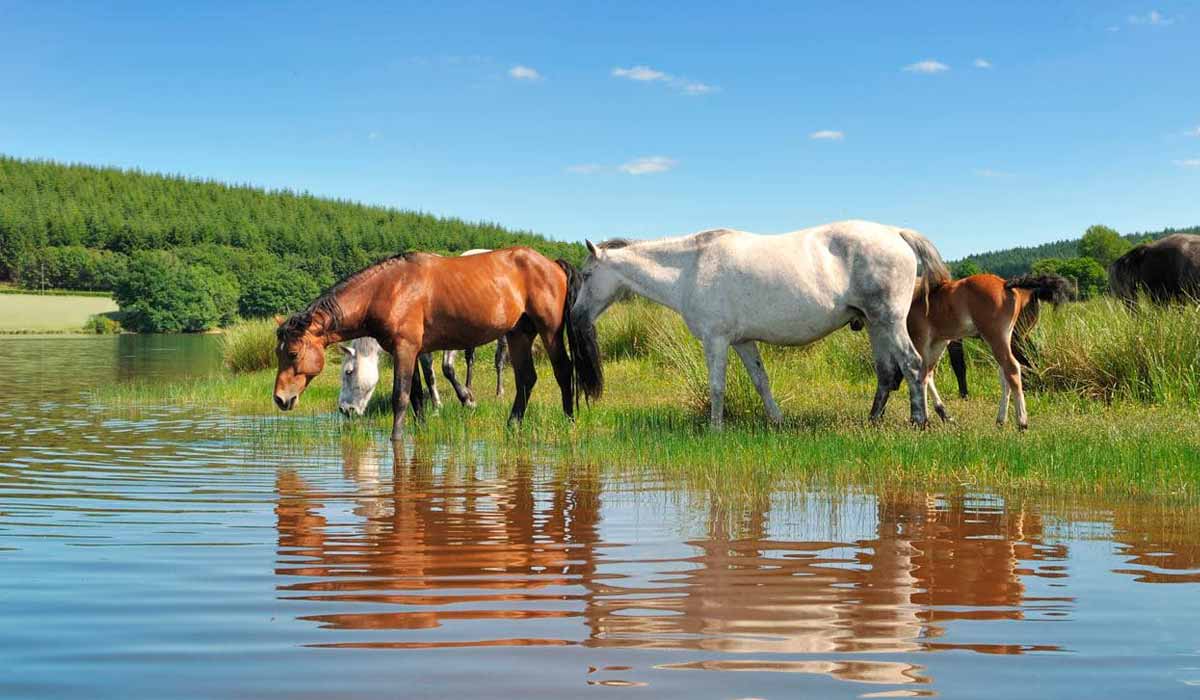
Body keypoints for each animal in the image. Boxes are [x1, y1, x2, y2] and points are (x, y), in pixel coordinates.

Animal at [276, 249, 604, 441]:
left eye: (292, 353)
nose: (280, 399)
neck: (389, 289)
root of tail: (551, 263)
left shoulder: (405, 349)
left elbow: (401, 396)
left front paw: (397, 439)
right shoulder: (414, 351)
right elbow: (418, 396)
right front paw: (421, 430)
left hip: (549, 331)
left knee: (563, 371)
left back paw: (569, 420)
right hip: (518, 334)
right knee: (526, 378)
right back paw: (512, 425)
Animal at [568, 218, 945, 427]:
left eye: (586, 275)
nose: (575, 316)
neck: (691, 268)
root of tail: (895, 233)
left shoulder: (716, 341)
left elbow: (716, 387)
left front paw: (715, 429)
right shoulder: (742, 342)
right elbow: (761, 381)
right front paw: (776, 421)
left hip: (890, 322)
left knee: (912, 366)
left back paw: (920, 420)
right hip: (876, 325)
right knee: (888, 374)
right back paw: (875, 420)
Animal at [883, 272, 1070, 427]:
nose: (879, 414)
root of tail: (1006, 284)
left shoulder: (923, 340)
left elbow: (921, 374)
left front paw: (921, 419)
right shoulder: (939, 342)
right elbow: (928, 374)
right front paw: (942, 415)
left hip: (1000, 337)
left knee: (1013, 368)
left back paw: (1022, 422)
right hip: (1006, 339)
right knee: (1006, 373)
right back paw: (1001, 420)